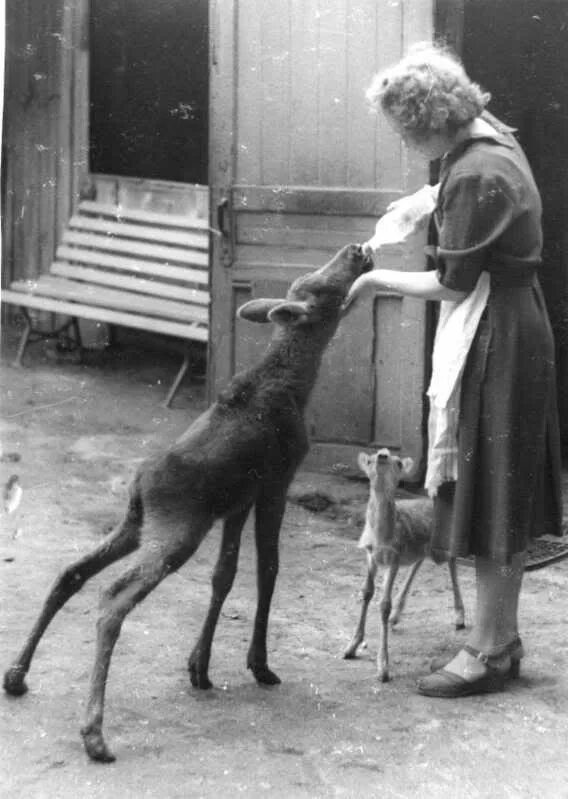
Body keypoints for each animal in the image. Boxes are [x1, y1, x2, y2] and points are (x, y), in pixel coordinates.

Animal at [344, 450, 464, 680]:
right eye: (370, 459)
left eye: (399, 462)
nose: (382, 454)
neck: (382, 537)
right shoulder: (371, 554)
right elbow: (366, 593)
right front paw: (351, 647)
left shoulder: (395, 556)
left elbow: (383, 604)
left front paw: (383, 667)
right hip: (421, 548)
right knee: (420, 561)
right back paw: (396, 616)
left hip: (439, 548)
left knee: (452, 559)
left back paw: (460, 617)